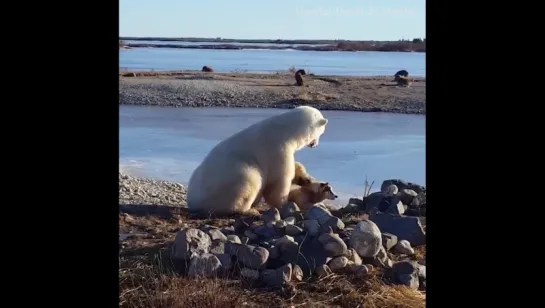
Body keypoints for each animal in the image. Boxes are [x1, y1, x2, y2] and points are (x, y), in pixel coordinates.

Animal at [185, 106, 330, 217]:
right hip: (231, 178)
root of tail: (193, 202)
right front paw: (285, 202)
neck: (286, 130)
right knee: (249, 180)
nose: (315, 145)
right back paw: (250, 210)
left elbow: (295, 167)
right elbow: (278, 180)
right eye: (321, 132)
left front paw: (306, 178)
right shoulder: (277, 148)